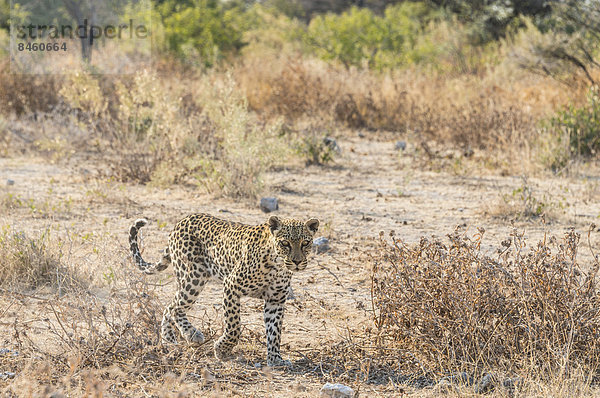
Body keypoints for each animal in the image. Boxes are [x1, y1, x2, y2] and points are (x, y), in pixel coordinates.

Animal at [129, 215, 322, 366]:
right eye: (285, 243)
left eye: (305, 243)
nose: (297, 262)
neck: (277, 266)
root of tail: (180, 222)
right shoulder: (231, 285)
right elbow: (234, 326)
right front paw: (222, 350)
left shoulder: (276, 300)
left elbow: (274, 332)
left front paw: (275, 359)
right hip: (194, 276)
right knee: (175, 307)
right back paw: (191, 335)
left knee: (169, 307)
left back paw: (169, 340)